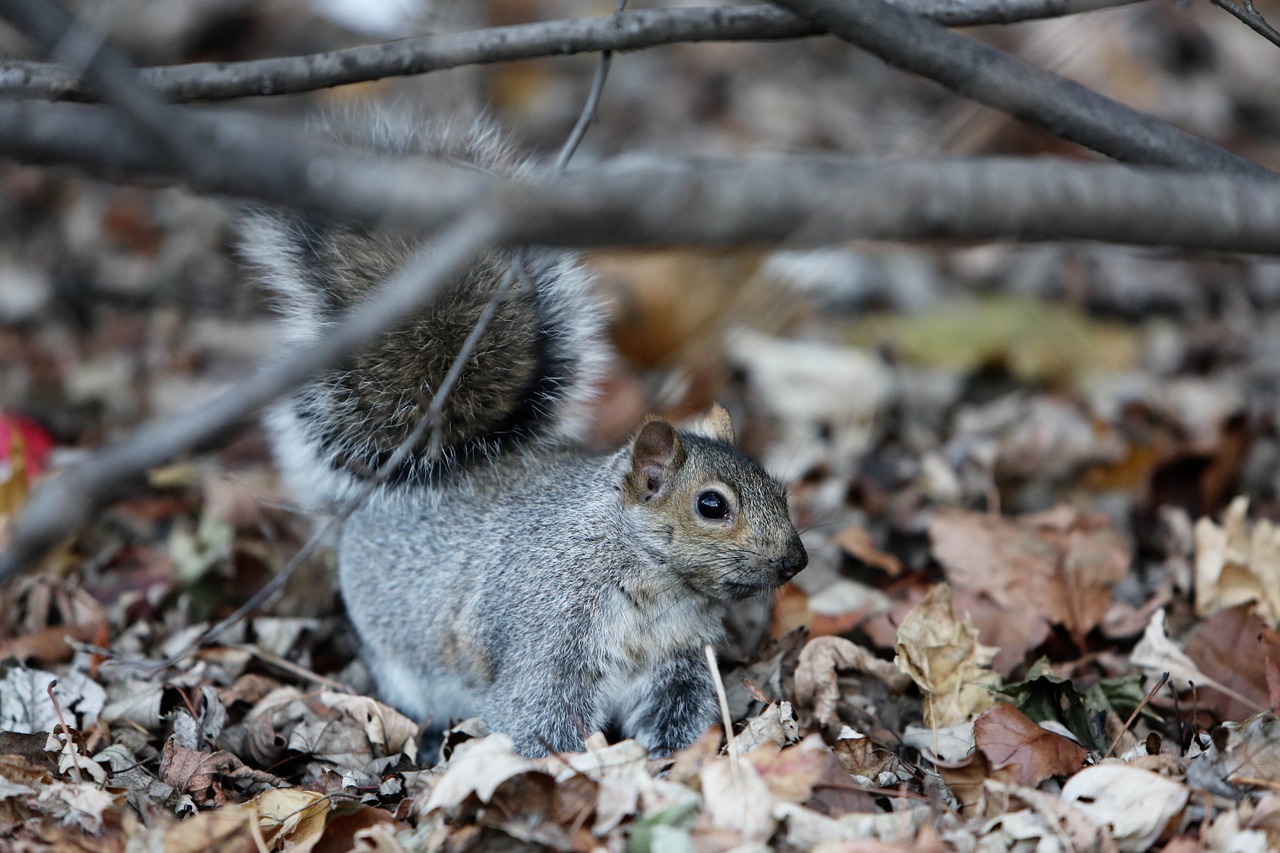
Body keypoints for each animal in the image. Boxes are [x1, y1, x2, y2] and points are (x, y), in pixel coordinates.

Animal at [238, 121, 808, 758]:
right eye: (712, 506)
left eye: (780, 491)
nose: (796, 560)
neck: (656, 584)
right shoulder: (548, 641)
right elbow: (536, 719)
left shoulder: (678, 663)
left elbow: (678, 715)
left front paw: (674, 761)